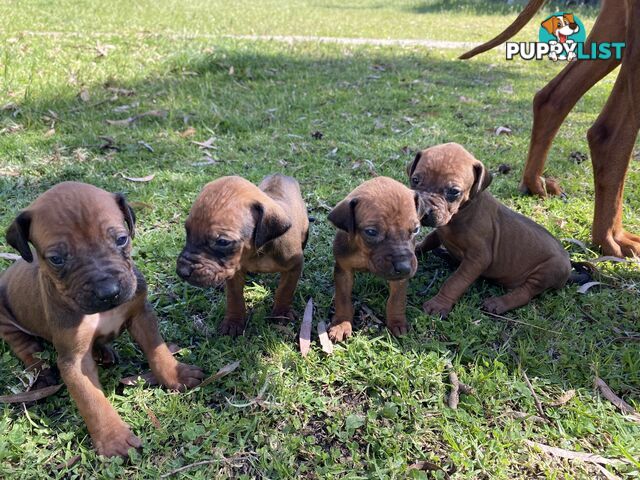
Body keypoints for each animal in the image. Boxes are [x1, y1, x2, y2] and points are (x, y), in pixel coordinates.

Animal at [0, 181, 204, 458]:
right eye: (56, 259)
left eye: (122, 239)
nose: (108, 292)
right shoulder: (73, 361)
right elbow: (92, 400)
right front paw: (113, 438)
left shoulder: (141, 315)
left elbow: (158, 350)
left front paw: (176, 374)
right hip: (6, 319)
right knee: (26, 348)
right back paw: (42, 372)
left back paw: (103, 352)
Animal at [176, 174, 308, 336]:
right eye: (187, 231)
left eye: (223, 242)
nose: (181, 272)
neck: (257, 252)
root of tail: (280, 174)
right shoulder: (234, 272)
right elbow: (234, 297)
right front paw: (234, 321)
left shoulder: (294, 266)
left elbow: (285, 290)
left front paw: (281, 313)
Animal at [328, 176, 422, 342]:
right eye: (371, 232)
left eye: (416, 229)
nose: (404, 267)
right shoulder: (343, 271)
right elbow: (343, 298)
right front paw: (341, 323)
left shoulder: (399, 279)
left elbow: (396, 300)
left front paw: (397, 322)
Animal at [408, 143, 572, 316]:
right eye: (415, 180)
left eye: (454, 191)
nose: (423, 212)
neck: (461, 212)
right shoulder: (441, 232)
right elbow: (429, 240)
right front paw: (416, 248)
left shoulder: (478, 257)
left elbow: (455, 282)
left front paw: (439, 304)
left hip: (546, 271)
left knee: (525, 293)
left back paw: (498, 303)